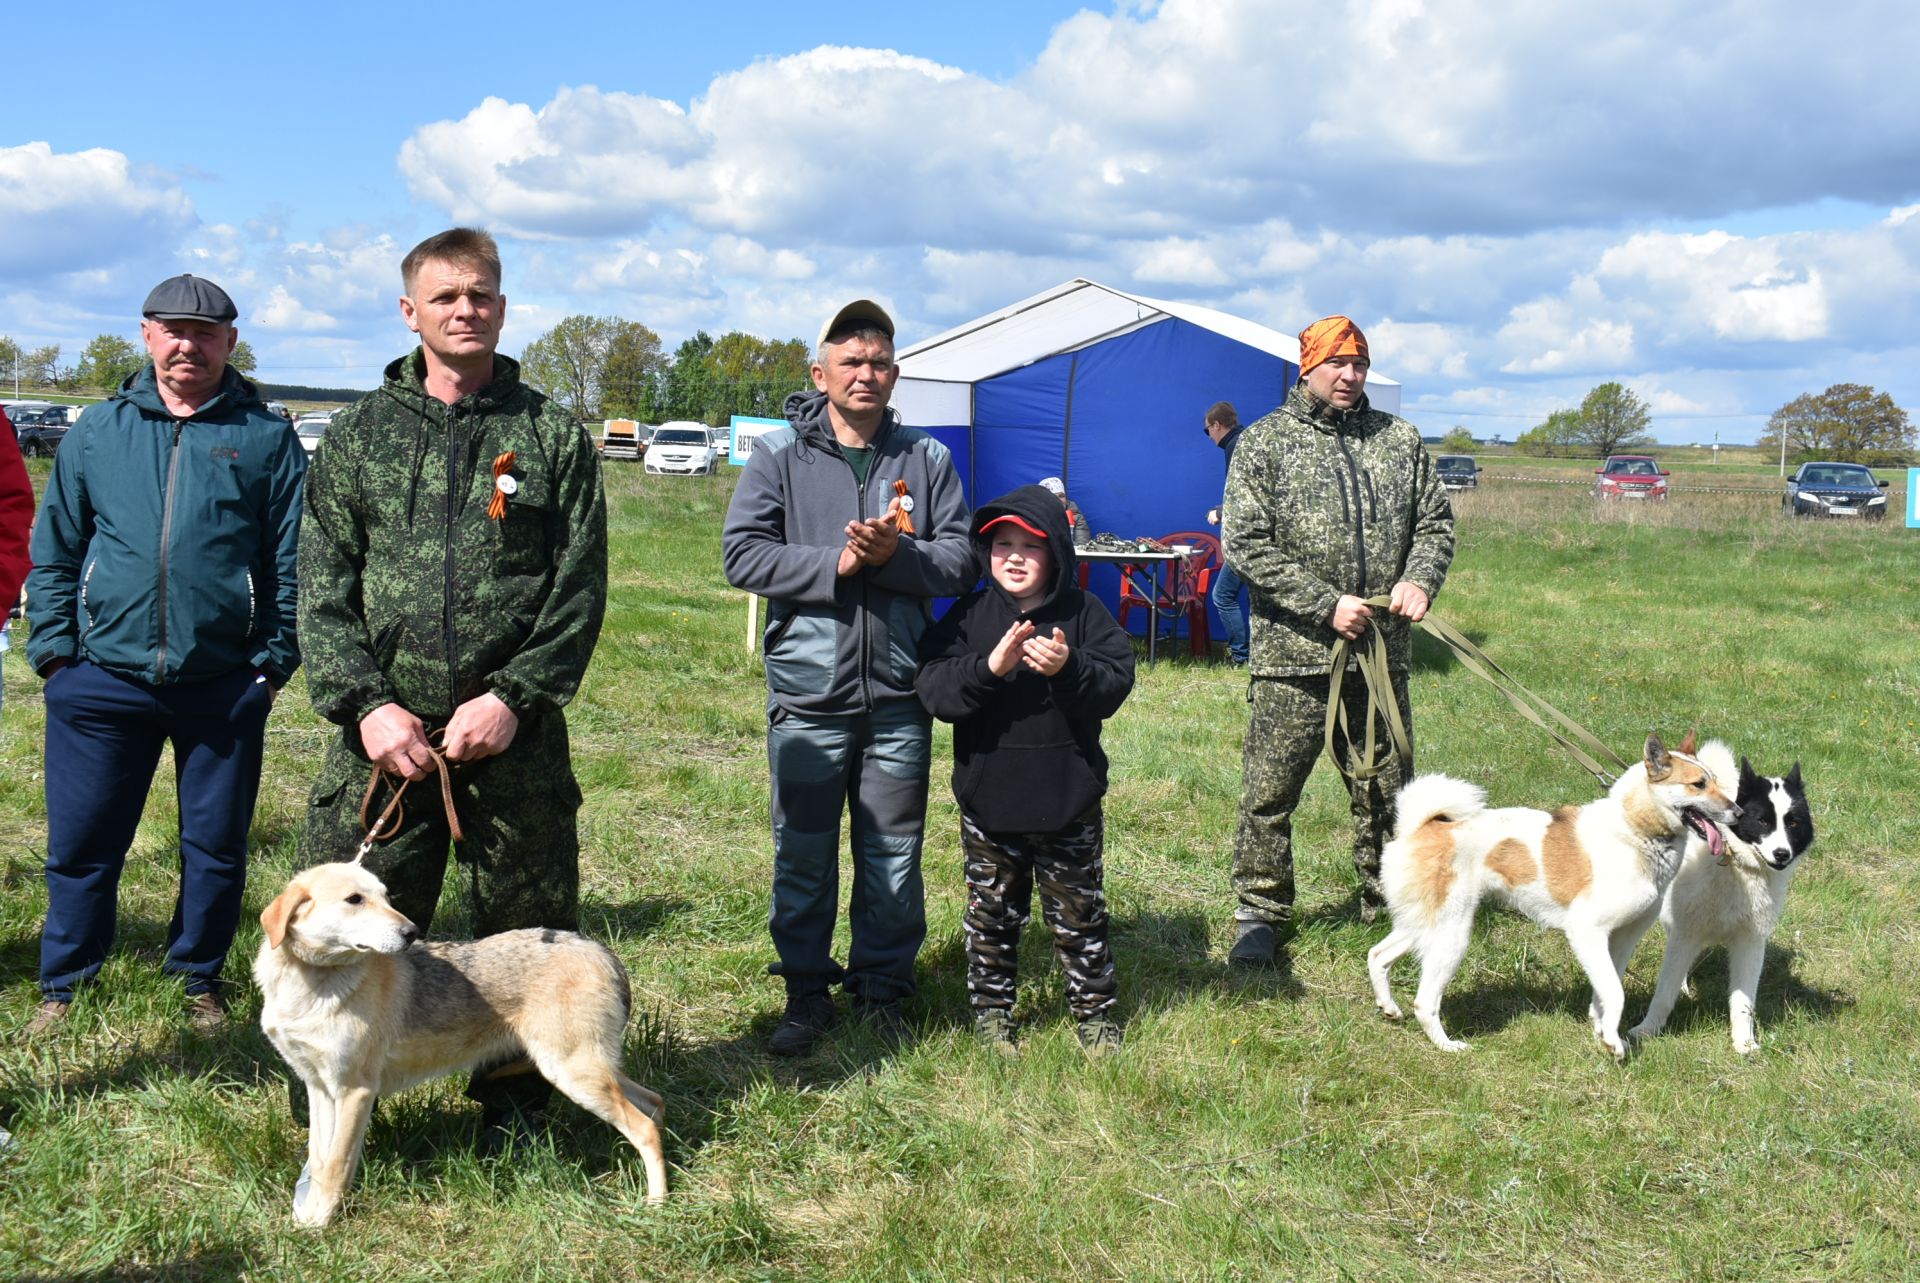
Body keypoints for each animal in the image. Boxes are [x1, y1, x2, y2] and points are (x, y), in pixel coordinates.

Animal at [255, 860, 664, 1221]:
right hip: (590, 1069)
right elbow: (321, 1160)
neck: (311, 983)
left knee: (644, 1128)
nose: (412, 932)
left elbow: (337, 1167)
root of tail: (601, 952)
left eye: (386, 897)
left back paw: (657, 1202)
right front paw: (307, 1215)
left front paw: (319, 1224)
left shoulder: (355, 1091)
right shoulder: (320, 1088)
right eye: (354, 899)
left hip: (573, 1073)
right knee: (654, 1106)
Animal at [1367, 737, 1743, 1060]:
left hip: (1426, 924)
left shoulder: (1623, 937)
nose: (1739, 813)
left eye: (1715, 780)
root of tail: (1424, 826)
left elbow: (1606, 990)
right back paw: (1447, 1046)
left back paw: (1389, 1007)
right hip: (1452, 934)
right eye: (1698, 784)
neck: (1636, 832)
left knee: (1378, 955)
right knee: (1424, 1001)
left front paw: (1602, 1031)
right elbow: (1616, 992)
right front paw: (1613, 1043)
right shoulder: (1586, 930)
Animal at [1620, 741, 1812, 1052]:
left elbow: (1744, 1001)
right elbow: (1664, 990)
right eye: (1762, 821)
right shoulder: (1685, 933)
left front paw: (1744, 1043)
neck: (1733, 863)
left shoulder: (1750, 941)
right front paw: (1647, 1030)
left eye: (1793, 823)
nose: (1782, 854)